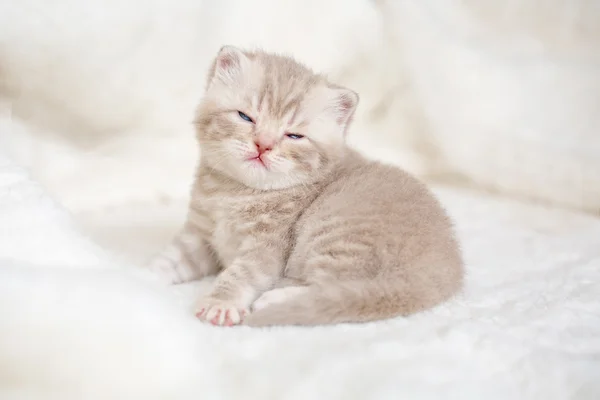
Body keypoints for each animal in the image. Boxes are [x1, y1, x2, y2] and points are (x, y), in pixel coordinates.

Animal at [146, 45, 464, 326]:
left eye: (294, 136)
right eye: (245, 116)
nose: (263, 145)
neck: (234, 193)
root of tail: (440, 273)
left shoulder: (267, 249)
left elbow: (241, 274)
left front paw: (220, 303)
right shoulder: (200, 235)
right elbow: (171, 259)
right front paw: (141, 277)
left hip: (334, 231)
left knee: (335, 289)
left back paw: (274, 300)